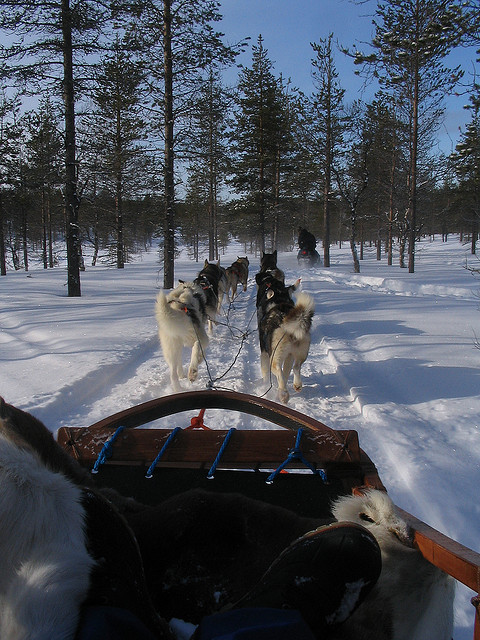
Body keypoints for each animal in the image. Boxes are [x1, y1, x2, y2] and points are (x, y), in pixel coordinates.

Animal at [255, 272, 316, 402]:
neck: (278, 299)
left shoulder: (264, 353)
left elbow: (266, 374)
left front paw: (265, 385)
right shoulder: (289, 356)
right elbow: (286, 373)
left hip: (274, 357)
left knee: (278, 369)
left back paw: (283, 394)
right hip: (300, 353)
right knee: (296, 367)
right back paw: (296, 385)